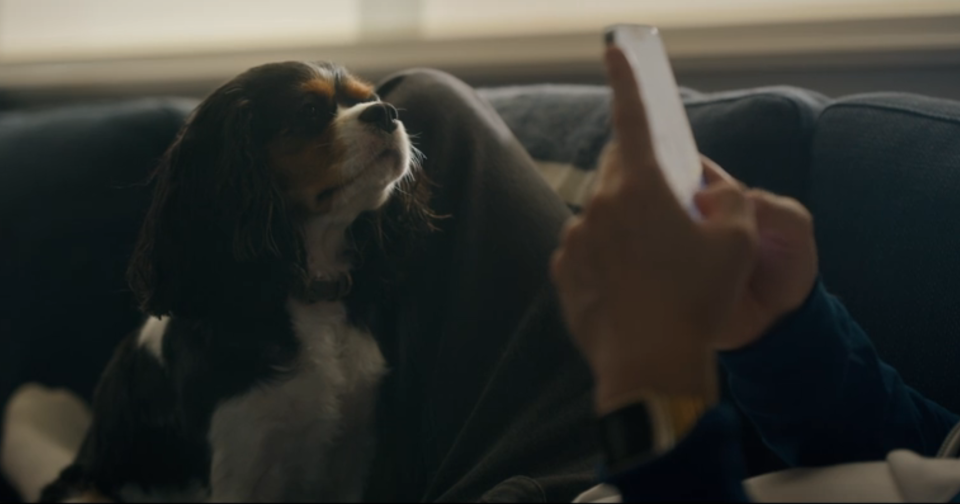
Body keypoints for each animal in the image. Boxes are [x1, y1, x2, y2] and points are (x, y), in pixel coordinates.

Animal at [39, 61, 434, 502]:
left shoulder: (353, 452)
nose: (386, 112)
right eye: (310, 111)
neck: (310, 294)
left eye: (367, 98)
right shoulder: (240, 466)